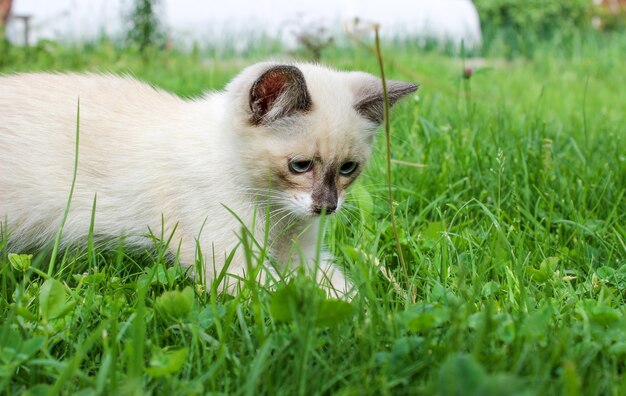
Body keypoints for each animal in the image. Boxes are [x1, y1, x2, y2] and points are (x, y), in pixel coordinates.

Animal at [1, 62, 420, 296]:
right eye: (300, 166)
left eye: (348, 169)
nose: (326, 208)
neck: (273, 210)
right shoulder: (232, 260)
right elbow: (285, 298)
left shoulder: (302, 255)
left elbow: (345, 294)